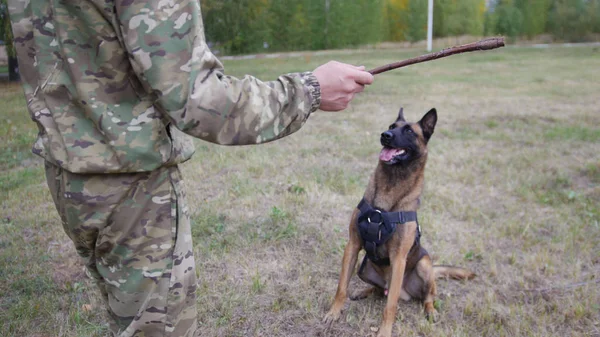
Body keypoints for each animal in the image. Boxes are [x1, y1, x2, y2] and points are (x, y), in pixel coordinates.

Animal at [324, 107, 474, 336]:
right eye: (391, 126)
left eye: (409, 131)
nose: (385, 135)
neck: (390, 184)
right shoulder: (353, 246)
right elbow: (341, 287)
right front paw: (334, 313)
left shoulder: (399, 259)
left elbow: (390, 306)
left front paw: (384, 332)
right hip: (363, 269)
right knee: (380, 290)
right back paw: (364, 291)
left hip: (424, 266)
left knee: (426, 296)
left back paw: (430, 311)